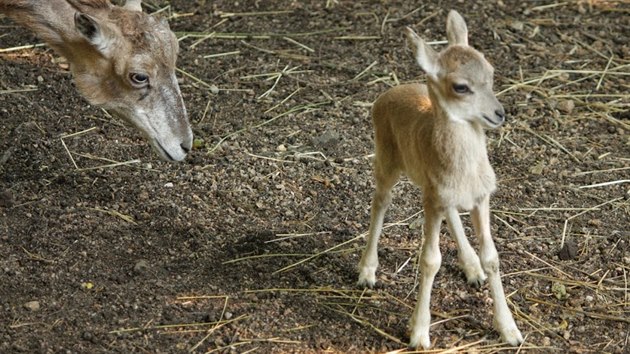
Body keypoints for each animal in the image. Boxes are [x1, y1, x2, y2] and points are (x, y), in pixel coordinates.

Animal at [358, 9, 524, 350]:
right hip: (387, 161)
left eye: (490, 71)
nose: (499, 113)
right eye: (460, 86)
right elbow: (430, 260)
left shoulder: (480, 197)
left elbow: (492, 257)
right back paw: (367, 272)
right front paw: (419, 334)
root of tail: (387, 94)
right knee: (380, 201)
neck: (465, 170)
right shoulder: (432, 199)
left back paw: (471, 267)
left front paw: (510, 331)